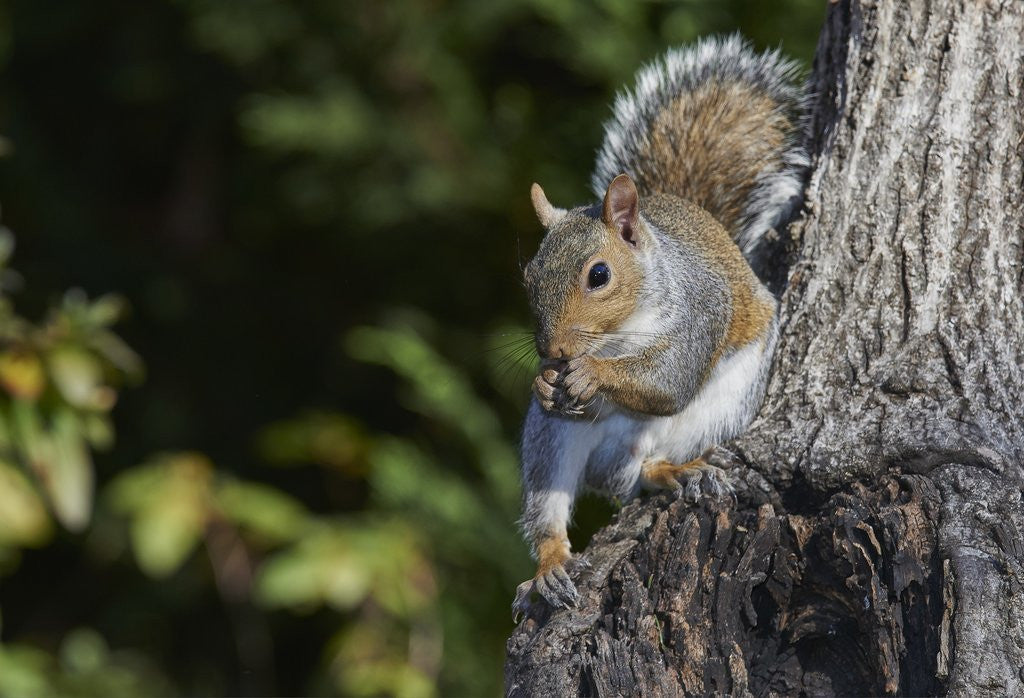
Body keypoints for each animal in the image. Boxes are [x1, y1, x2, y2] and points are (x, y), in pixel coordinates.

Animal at [513, 34, 807, 614]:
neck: (614, 338)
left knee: (644, 472)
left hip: (717, 408)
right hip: (551, 436)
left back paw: (675, 470)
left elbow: (669, 380)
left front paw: (592, 377)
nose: (554, 352)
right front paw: (545, 382)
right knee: (555, 503)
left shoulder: (700, 314)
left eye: (599, 275)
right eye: (529, 275)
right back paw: (550, 567)